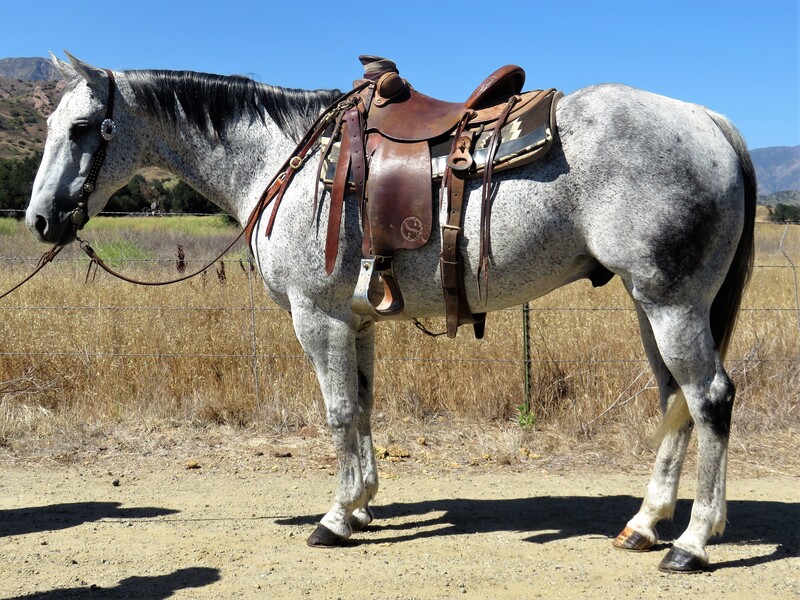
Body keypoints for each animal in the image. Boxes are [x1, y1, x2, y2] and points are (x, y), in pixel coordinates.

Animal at [26, 52, 756, 572]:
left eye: (82, 129)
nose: (39, 220)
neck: (282, 160)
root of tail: (708, 121)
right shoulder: (358, 323)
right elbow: (364, 408)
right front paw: (362, 508)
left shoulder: (317, 319)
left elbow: (338, 412)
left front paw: (334, 518)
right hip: (649, 301)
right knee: (674, 399)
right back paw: (644, 525)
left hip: (671, 301)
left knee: (710, 398)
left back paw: (691, 543)